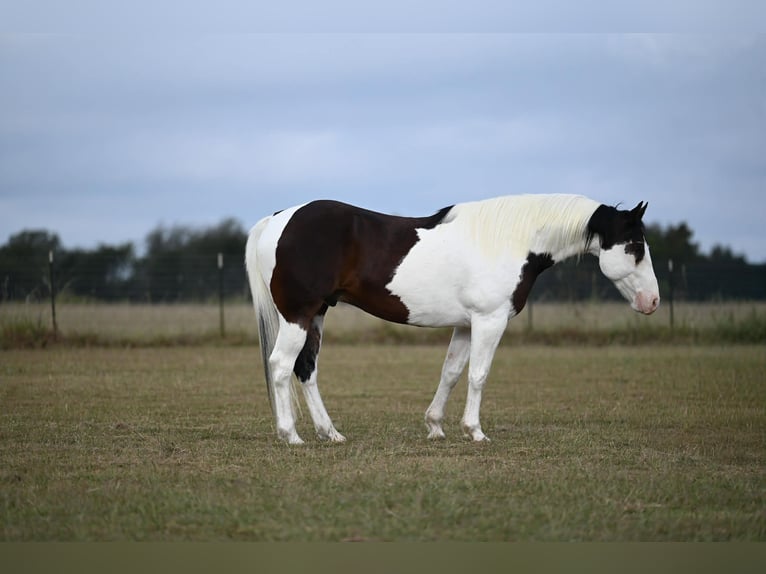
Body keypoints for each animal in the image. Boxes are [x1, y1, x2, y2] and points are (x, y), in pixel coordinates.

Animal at [245, 194, 660, 444]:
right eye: (636, 246)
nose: (652, 301)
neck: (510, 241)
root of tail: (277, 219)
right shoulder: (490, 320)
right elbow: (478, 375)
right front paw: (475, 431)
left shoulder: (465, 324)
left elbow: (452, 372)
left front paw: (435, 426)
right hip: (298, 316)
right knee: (280, 366)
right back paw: (291, 435)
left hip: (316, 315)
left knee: (306, 370)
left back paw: (330, 433)